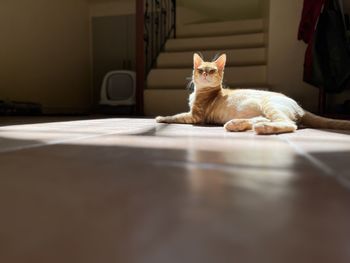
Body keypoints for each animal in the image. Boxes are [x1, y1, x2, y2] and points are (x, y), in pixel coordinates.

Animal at [156, 53, 350, 136]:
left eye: (211, 71)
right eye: (200, 69)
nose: (204, 74)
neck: (203, 91)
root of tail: (300, 106)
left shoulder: (195, 116)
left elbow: (176, 116)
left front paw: (161, 117)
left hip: (269, 105)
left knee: (289, 124)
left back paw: (262, 128)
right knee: (265, 119)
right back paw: (236, 124)